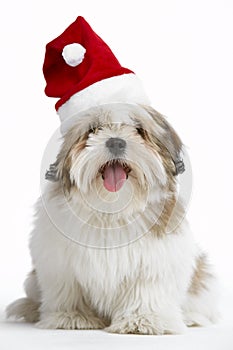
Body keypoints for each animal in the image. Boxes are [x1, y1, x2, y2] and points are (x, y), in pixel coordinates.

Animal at [6, 103, 219, 334]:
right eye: (93, 129)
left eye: (138, 129)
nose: (116, 141)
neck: (112, 208)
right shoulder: (60, 262)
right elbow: (69, 288)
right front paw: (73, 316)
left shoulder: (155, 259)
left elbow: (146, 288)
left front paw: (143, 319)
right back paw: (28, 307)